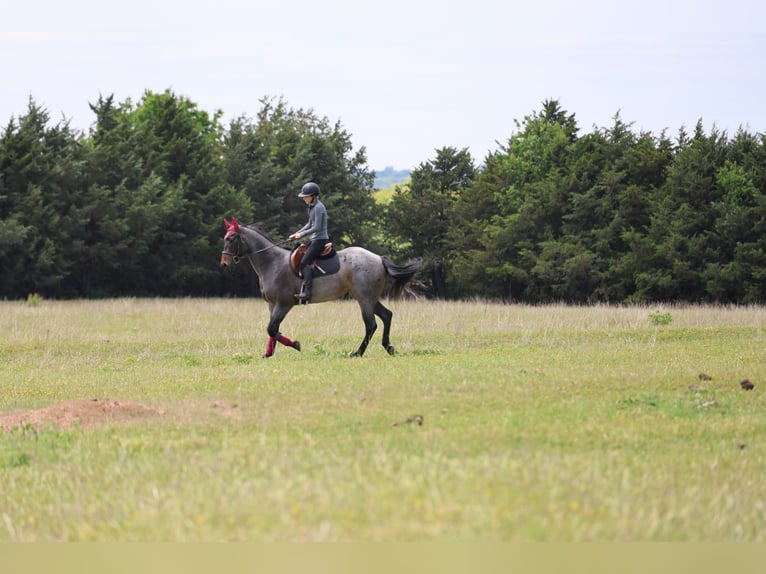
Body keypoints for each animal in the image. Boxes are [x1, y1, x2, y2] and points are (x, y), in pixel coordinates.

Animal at [220, 217, 421, 358]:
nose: (224, 264)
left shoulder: (284, 304)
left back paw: (357, 353)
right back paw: (388, 347)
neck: (272, 263)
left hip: (364, 299)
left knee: (371, 325)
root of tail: (379, 258)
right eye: (225, 238)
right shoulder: (272, 304)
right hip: (369, 298)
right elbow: (272, 330)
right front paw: (268, 353)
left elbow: (272, 329)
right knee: (387, 316)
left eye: (232, 238)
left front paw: (296, 345)